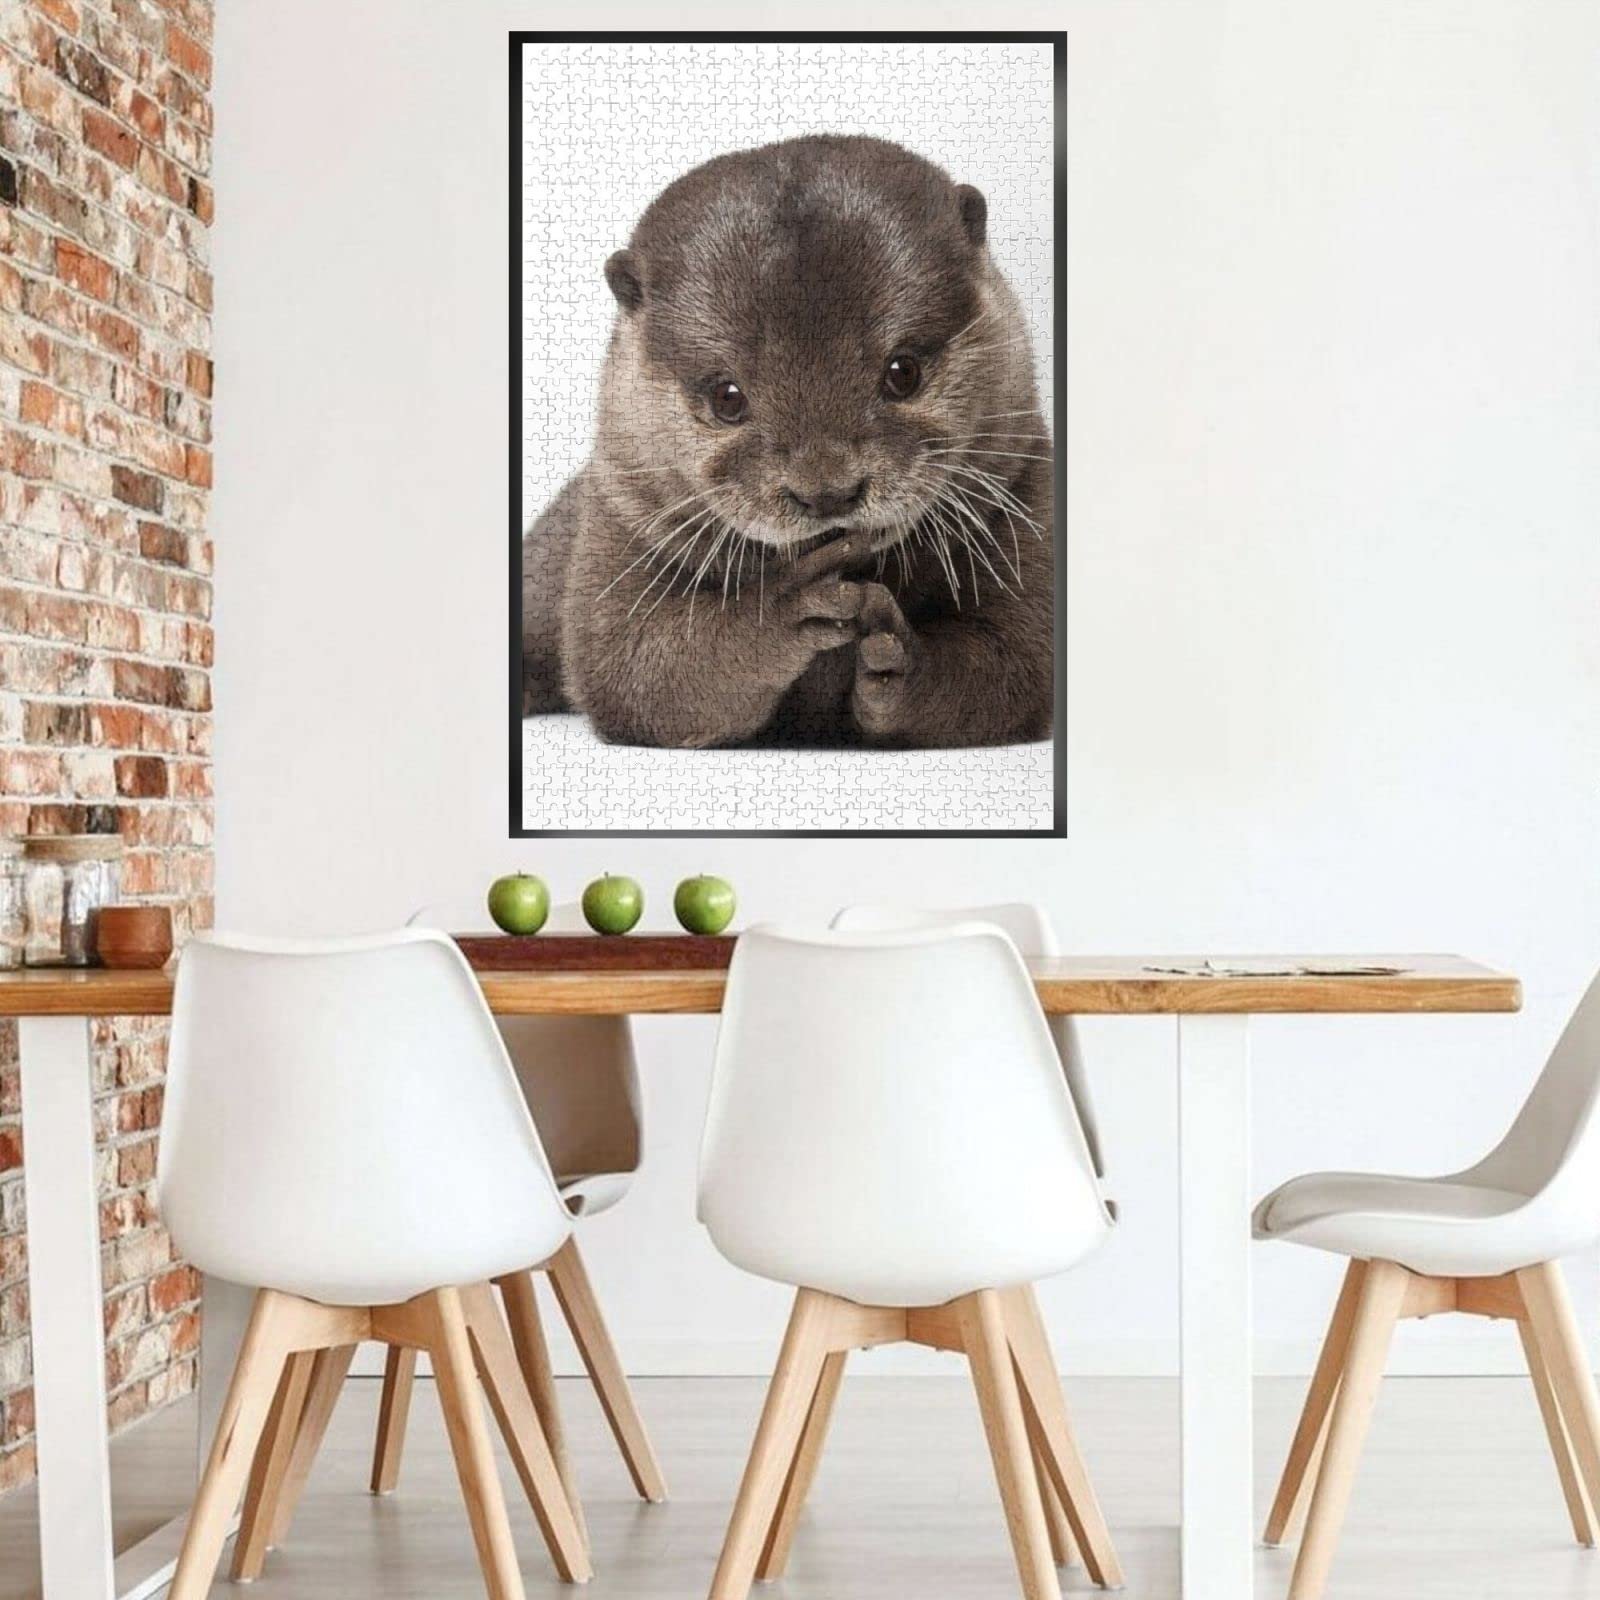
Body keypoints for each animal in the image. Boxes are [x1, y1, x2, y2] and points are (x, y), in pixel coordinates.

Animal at [521, 134, 1053, 749]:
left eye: (903, 371)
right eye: (727, 396)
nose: (827, 491)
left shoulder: (1027, 492)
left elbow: (1018, 661)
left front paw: (900, 659)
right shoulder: (621, 518)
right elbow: (632, 667)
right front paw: (785, 606)